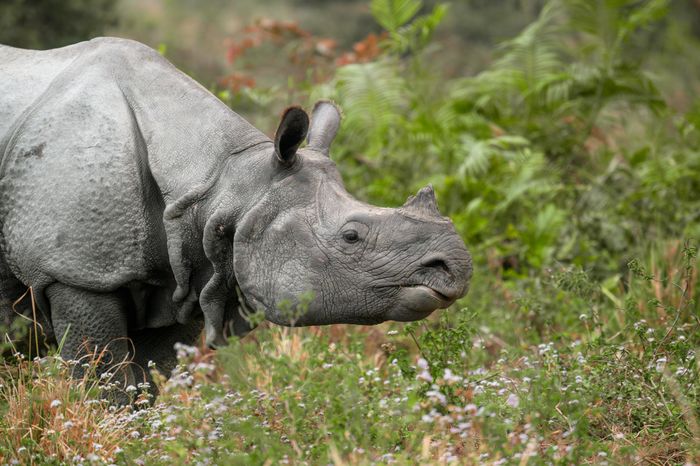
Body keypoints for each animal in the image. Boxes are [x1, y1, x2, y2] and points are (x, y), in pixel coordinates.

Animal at [0, 37, 471, 383]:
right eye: (351, 237)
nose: (456, 268)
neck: (222, 183)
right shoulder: (73, 271)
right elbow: (104, 380)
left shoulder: (187, 273)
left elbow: (145, 382)